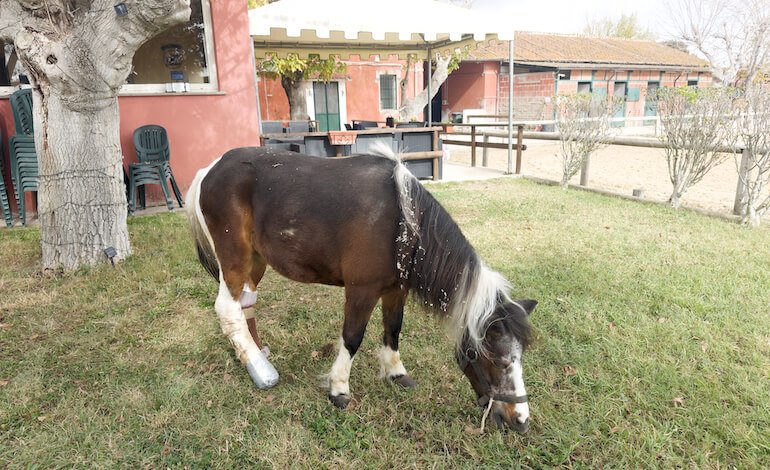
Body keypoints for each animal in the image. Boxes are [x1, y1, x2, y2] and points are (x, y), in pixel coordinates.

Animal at [186, 146, 536, 432]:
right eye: (501, 361)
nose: (521, 420)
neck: (402, 221)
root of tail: (210, 169)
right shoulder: (361, 291)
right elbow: (352, 338)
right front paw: (339, 389)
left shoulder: (396, 289)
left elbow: (393, 328)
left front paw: (396, 372)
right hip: (235, 256)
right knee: (227, 307)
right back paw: (258, 367)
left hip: (256, 259)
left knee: (246, 303)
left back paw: (256, 356)